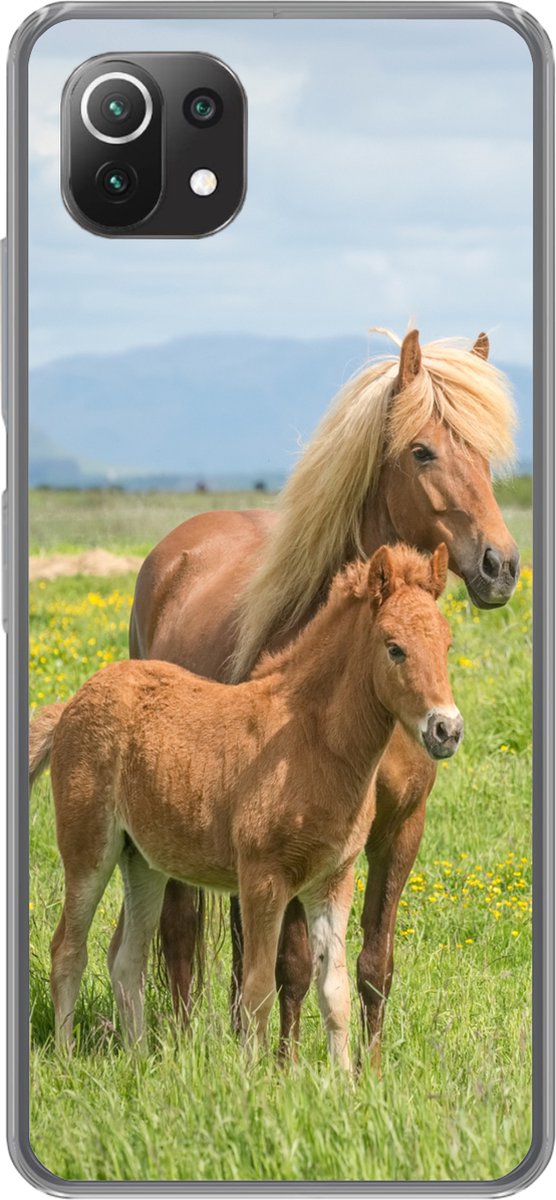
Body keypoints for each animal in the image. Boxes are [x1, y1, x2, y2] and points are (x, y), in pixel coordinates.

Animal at [30, 542, 463, 1064]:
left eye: (447, 645)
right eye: (394, 647)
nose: (446, 729)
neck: (309, 742)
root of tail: (71, 704)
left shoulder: (332, 880)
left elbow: (334, 991)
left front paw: (343, 1079)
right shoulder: (263, 879)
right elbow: (257, 989)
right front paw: (253, 1076)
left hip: (143, 860)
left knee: (126, 958)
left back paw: (139, 1061)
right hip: (89, 848)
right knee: (67, 949)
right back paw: (67, 1056)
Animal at [126, 328, 519, 1068]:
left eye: (485, 454)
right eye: (422, 451)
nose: (501, 566)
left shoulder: (399, 828)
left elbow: (372, 963)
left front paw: (369, 1069)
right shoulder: (293, 837)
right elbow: (293, 966)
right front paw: (284, 1069)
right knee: (182, 928)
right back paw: (188, 1042)